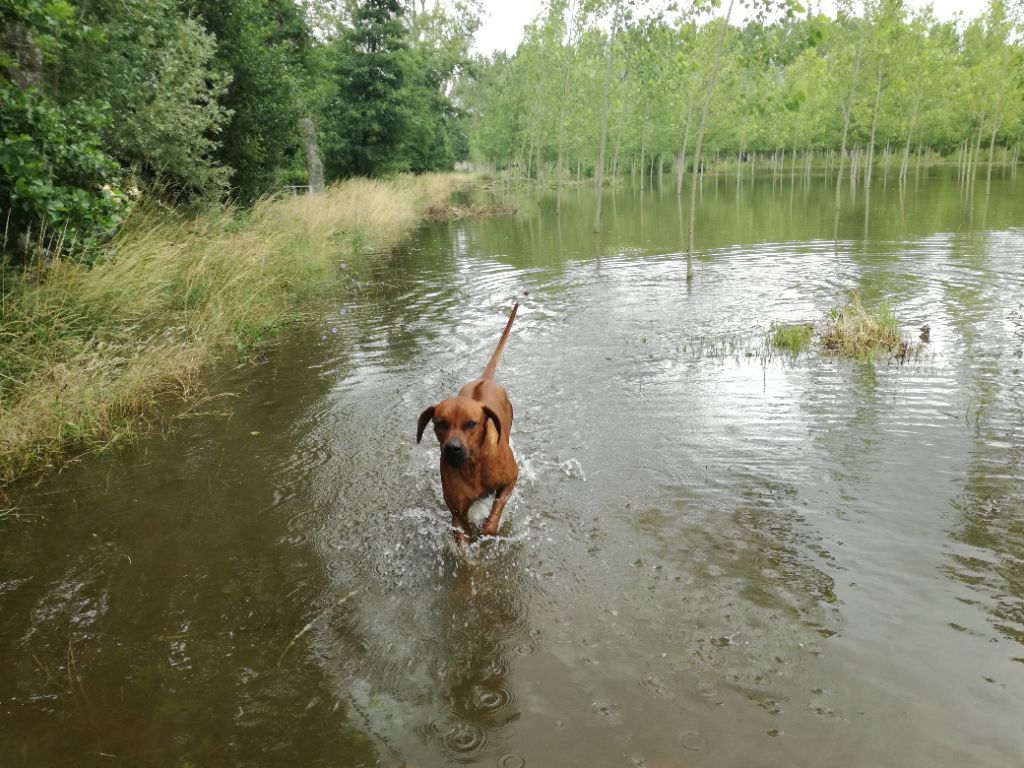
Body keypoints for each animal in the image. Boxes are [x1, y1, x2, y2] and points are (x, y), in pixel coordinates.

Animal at [415, 303, 520, 544]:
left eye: (471, 424)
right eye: (440, 424)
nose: (452, 449)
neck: (473, 464)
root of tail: (485, 379)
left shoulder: (511, 479)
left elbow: (495, 511)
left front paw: (488, 528)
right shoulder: (458, 513)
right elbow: (463, 536)